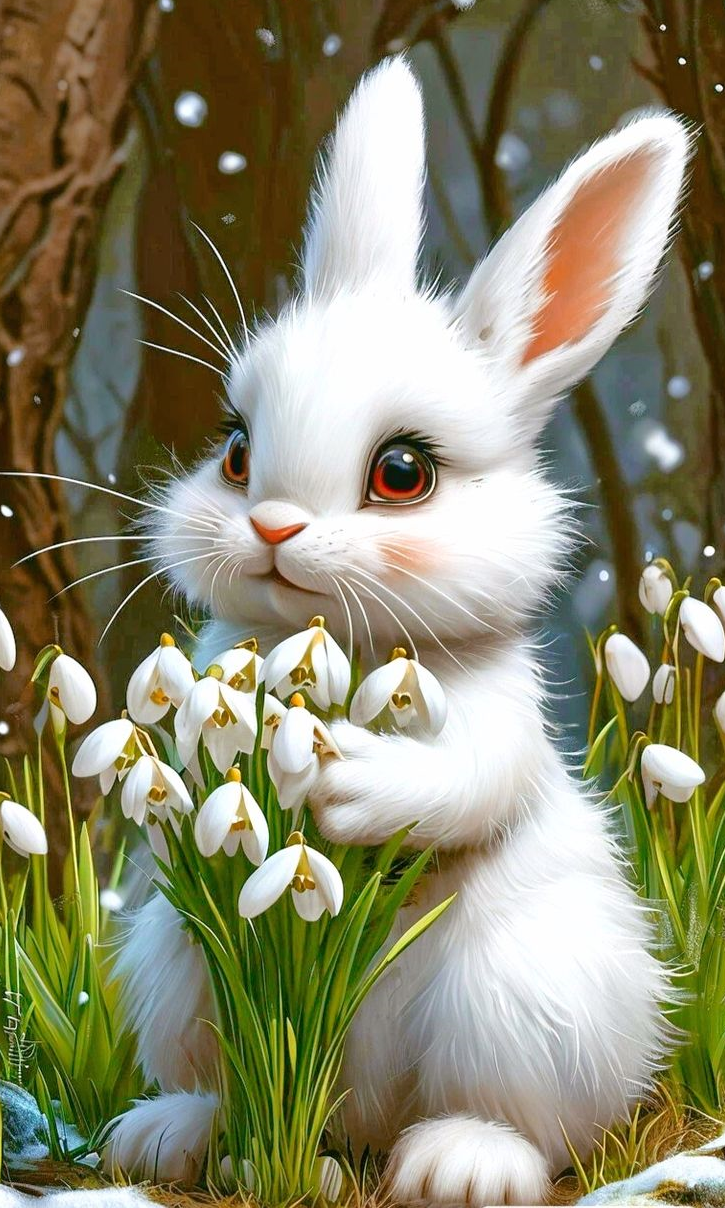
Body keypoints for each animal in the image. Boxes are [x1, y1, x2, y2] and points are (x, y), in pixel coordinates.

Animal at [106, 57, 691, 1205]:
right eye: (235, 452)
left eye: (403, 472)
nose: (272, 527)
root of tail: (361, 1128)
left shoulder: (499, 717)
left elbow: (469, 780)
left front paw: (344, 785)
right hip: (174, 967)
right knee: (219, 1084)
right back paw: (168, 1139)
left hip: (520, 997)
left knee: (522, 1119)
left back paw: (461, 1162)